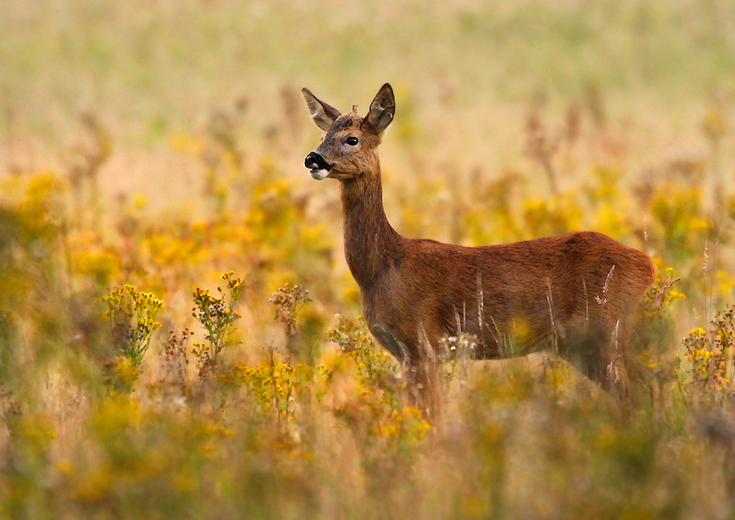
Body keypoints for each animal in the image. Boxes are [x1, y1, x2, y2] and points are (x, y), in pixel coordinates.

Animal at [300, 84, 656, 410]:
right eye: (322, 134)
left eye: (352, 139)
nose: (312, 158)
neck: (382, 266)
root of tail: (648, 265)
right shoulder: (407, 353)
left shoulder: (424, 341)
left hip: (608, 329)